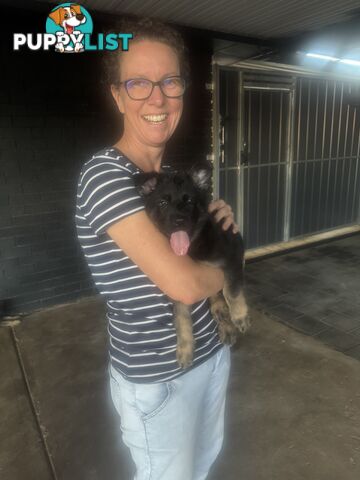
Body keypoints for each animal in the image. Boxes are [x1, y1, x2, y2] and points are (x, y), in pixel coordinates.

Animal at [133, 161, 250, 368]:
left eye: (189, 202)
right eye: (163, 203)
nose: (178, 221)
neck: (193, 244)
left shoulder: (233, 256)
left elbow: (232, 291)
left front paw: (239, 316)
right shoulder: (177, 288)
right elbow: (180, 318)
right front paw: (185, 348)